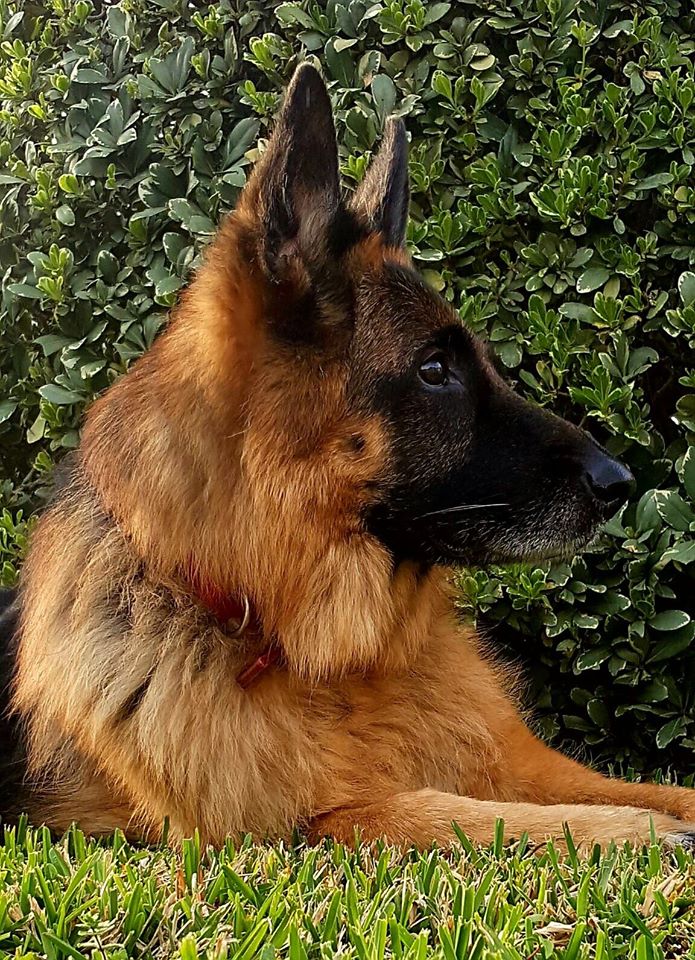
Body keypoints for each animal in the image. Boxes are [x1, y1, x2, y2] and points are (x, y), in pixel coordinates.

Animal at [2, 64, 694, 850]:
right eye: (434, 370)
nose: (620, 481)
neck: (307, 646)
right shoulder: (309, 825)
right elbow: (453, 813)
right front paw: (628, 829)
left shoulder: (516, 762)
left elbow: (651, 788)